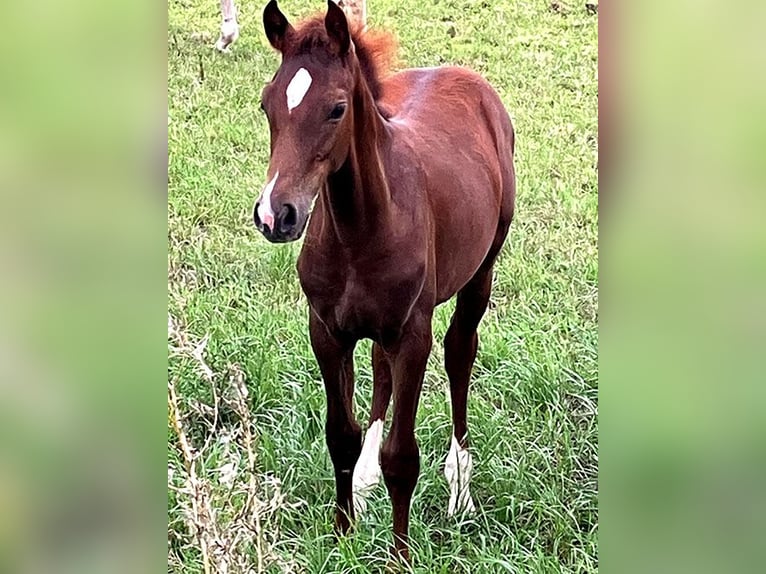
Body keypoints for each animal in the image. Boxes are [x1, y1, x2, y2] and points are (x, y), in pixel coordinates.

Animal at [252, 0, 515, 562]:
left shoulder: (411, 336)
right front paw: (343, 533)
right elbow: (340, 435)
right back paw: (369, 476)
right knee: (380, 365)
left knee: (460, 351)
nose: (274, 215)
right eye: (267, 105)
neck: (362, 230)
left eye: (336, 109)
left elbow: (404, 457)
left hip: (481, 270)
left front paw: (398, 555)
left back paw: (460, 485)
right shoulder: (327, 331)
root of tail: (464, 76)